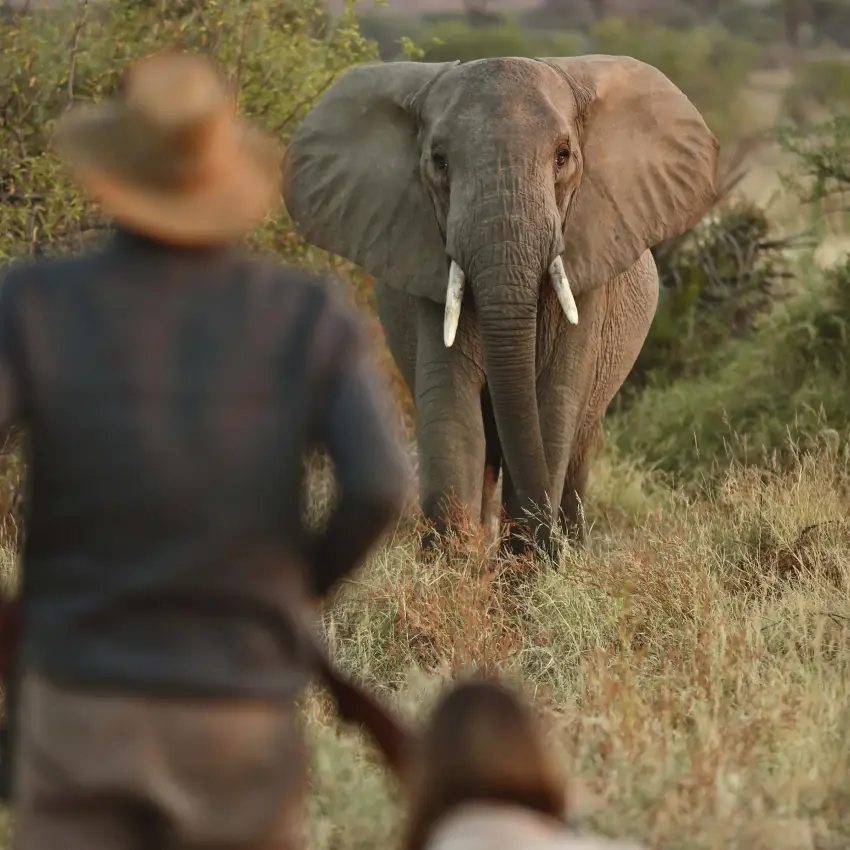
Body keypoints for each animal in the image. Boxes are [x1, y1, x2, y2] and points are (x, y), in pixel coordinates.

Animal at [281, 55, 718, 557]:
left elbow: (552, 409)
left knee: (577, 447)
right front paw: (453, 566)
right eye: (439, 161)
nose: (545, 548)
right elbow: (453, 412)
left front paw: (528, 568)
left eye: (563, 156)